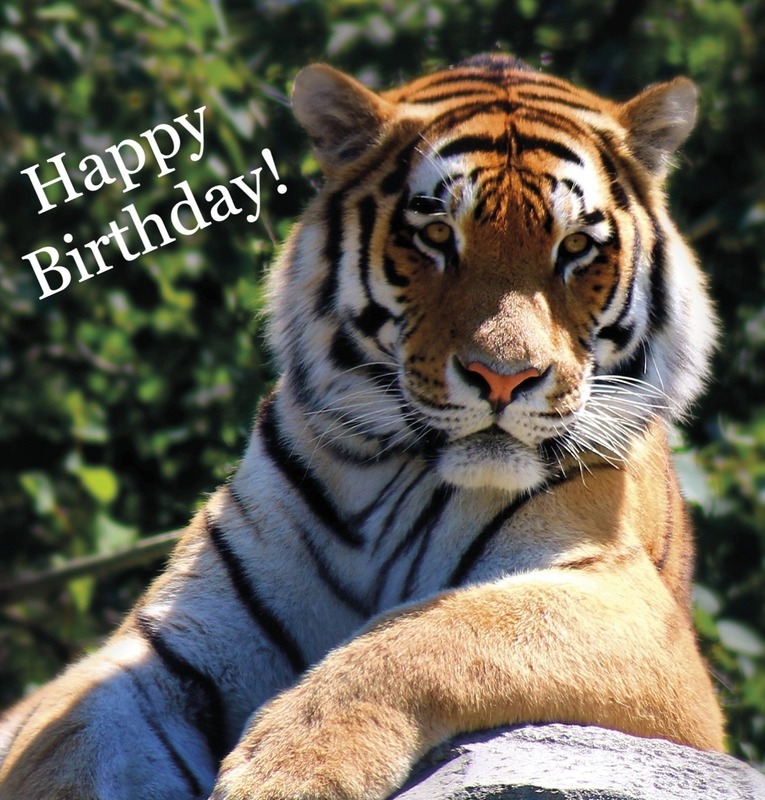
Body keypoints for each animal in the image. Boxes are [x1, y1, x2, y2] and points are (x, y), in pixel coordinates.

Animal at [0, 52, 723, 800]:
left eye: (575, 247)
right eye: (436, 236)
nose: (503, 377)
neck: (390, 478)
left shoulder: (633, 611)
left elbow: (443, 633)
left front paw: (287, 769)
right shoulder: (162, 650)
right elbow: (73, 750)